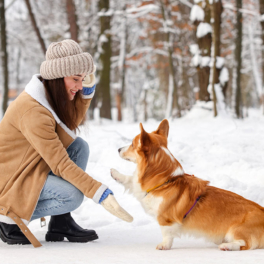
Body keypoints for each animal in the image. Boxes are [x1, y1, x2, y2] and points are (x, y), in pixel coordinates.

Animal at [110, 119, 264, 252]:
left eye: (132, 144)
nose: (117, 149)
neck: (166, 182)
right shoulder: (138, 188)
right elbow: (129, 180)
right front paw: (114, 173)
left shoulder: (166, 219)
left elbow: (166, 233)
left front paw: (164, 245)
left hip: (236, 230)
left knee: (245, 244)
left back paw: (227, 246)